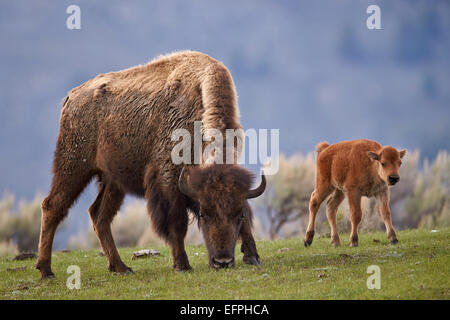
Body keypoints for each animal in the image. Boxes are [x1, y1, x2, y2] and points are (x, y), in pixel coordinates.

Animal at [37, 50, 268, 278]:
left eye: (239, 215)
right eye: (204, 214)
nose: (223, 261)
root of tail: (71, 97)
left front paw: (253, 257)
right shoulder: (169, 180)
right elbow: (177, 223)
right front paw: (182, 265)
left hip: (113, 182)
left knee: (99, 215)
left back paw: (120, 267)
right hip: (73, 166)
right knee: (53, 206)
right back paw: (46, 270)